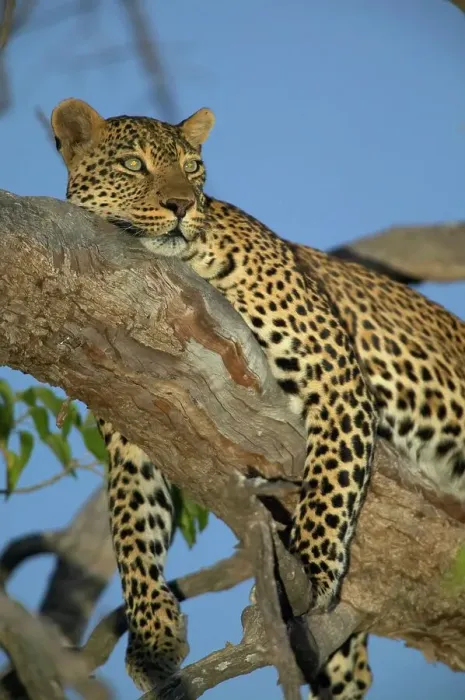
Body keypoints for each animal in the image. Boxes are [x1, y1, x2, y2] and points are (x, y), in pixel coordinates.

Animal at [51, 98, 465, 699]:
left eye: (192, 167)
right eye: (133, 164)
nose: (181, 205)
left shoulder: (338, 376)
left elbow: (328, 487)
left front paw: (311, 568)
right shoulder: (131, 424)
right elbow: (131, 528)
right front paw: (152, 638)